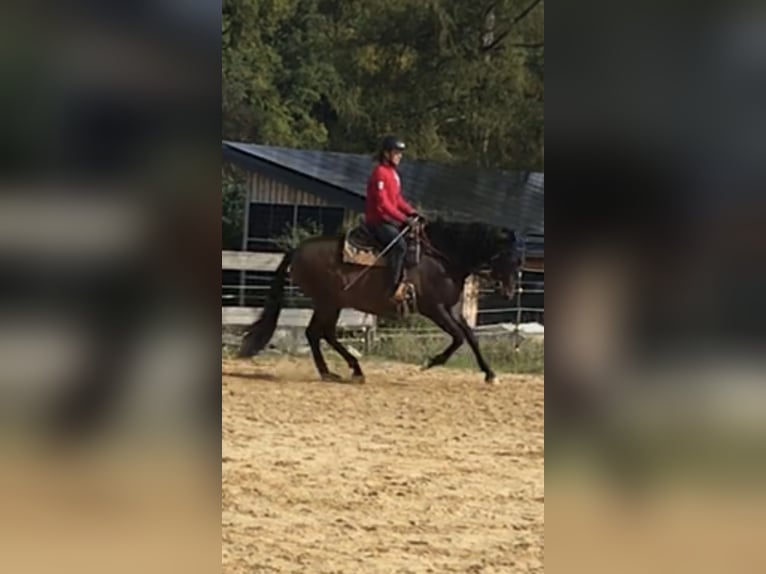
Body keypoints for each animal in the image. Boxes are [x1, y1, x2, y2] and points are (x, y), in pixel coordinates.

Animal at [237, 218, 520, 384]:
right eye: (507, 256)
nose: (510, 291)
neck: (441, 258)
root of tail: (296, 250)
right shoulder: (434, 309)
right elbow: (459, 338)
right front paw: (429, 363)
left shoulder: (453, 308)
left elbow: (471, 337)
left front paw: (490, 374)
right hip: (328, 301)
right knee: (318, 333)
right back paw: (338, 372)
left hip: (332, 303)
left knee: (320, 333)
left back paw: (345, 370)